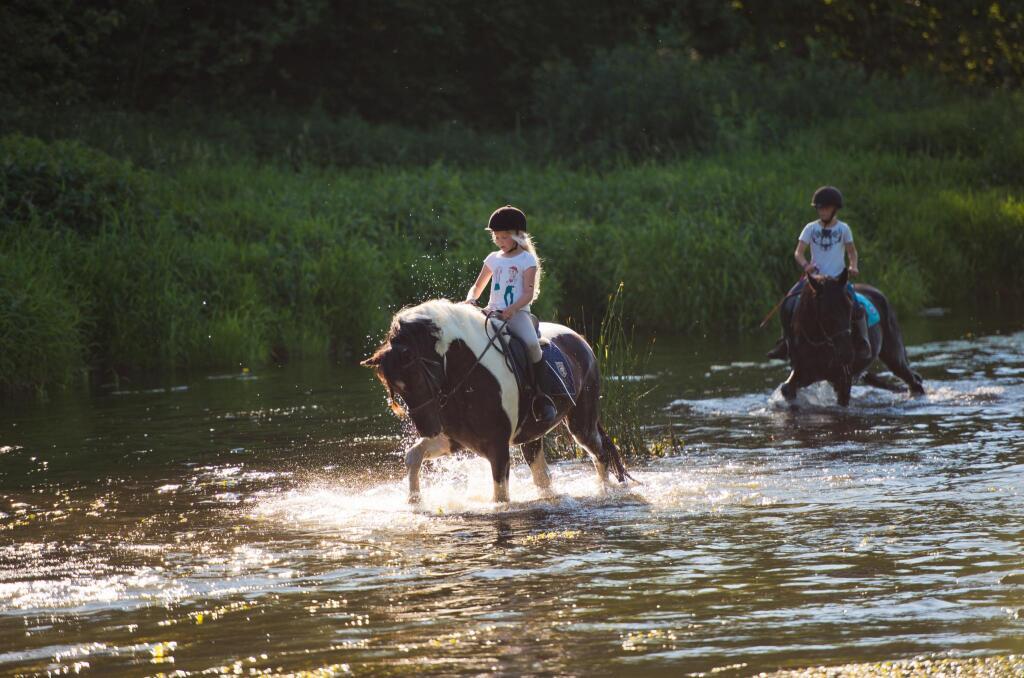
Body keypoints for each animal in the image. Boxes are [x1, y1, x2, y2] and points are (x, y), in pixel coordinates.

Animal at [364, 301, 626, 503]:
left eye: (415, 379)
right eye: (396, 391)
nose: (427, 430)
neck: (467, 373)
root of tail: (581, 340)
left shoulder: (497, 447)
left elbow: (500, 497)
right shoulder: (457, 439)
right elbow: (413, 456)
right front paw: (414, 503)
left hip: (581, 423)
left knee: (600, 454)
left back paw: (604, 492)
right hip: (532, 436)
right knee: (543, 475)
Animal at [774, 270, 929, 409]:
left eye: (850, 308)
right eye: (826, 313)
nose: (847, 354)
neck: (818, 342)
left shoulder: (843, 378)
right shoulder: (807, 373)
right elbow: (787, 388)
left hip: (894, 357)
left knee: (914, 382)